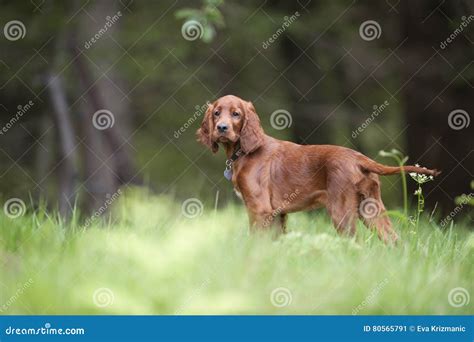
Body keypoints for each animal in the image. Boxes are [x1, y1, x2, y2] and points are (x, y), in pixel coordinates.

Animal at [195, 93, 436, 243]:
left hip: (342, 212)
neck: (245, 151)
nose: (222, 128)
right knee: (394, 240)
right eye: (216, 113)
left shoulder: (259, 209)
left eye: (236, 114)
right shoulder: (277, 214)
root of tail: (359, 157)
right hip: (371, 209)